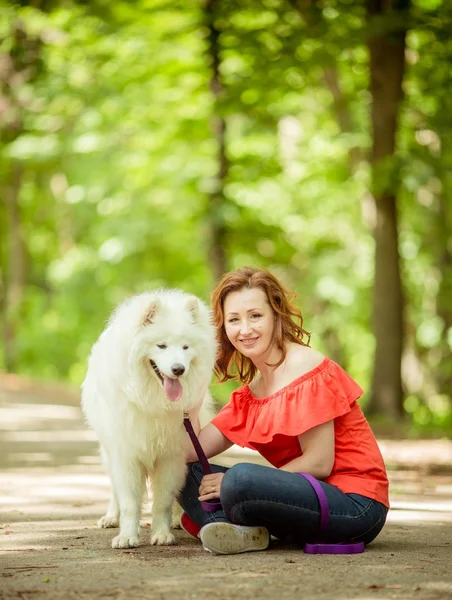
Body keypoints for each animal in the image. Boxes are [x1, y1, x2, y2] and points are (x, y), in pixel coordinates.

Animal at [82, 290, 216, 548]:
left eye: (186, 347)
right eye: (161, 345)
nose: (178, 369)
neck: (154, 402)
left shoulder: (171, 455)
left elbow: (163, 500)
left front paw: (162, 533)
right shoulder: (126, 454)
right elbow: (129, 502)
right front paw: (126, 536)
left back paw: (178, 519)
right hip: (108, 451)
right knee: (113, 488)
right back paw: (111, 517)